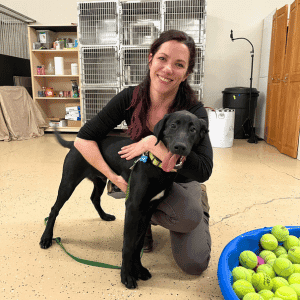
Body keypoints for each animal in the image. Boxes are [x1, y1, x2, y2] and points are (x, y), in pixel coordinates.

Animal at [39, 110, 207, 288]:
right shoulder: (133, 207)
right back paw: (46, 238)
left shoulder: (148, 209)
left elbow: (137, 243)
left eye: (193, 130)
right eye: (173, 125)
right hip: (69, 182)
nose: (180, 147)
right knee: (54, 209)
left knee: (94, 198)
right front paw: (126, 275)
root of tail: (74, 143)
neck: (156, 165)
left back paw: (104, 216)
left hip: (100, 179)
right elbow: (128, 244)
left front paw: (139, 269)